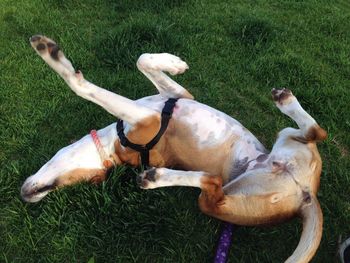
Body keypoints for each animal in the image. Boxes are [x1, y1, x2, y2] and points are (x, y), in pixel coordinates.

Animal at [21, 35, 326, 263]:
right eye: (80, 183)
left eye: (67, 183)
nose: (26, 196)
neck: (113, 144)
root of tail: (306, 197)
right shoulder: (148, 118)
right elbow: (83, 86)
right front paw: (54, 58)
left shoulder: (175, 99)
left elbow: (142, 60)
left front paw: (173, 63)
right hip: (222, 200)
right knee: (212, 184)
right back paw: (157, 177)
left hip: (285, 139)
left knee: (314, 132)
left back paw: (286, 101)